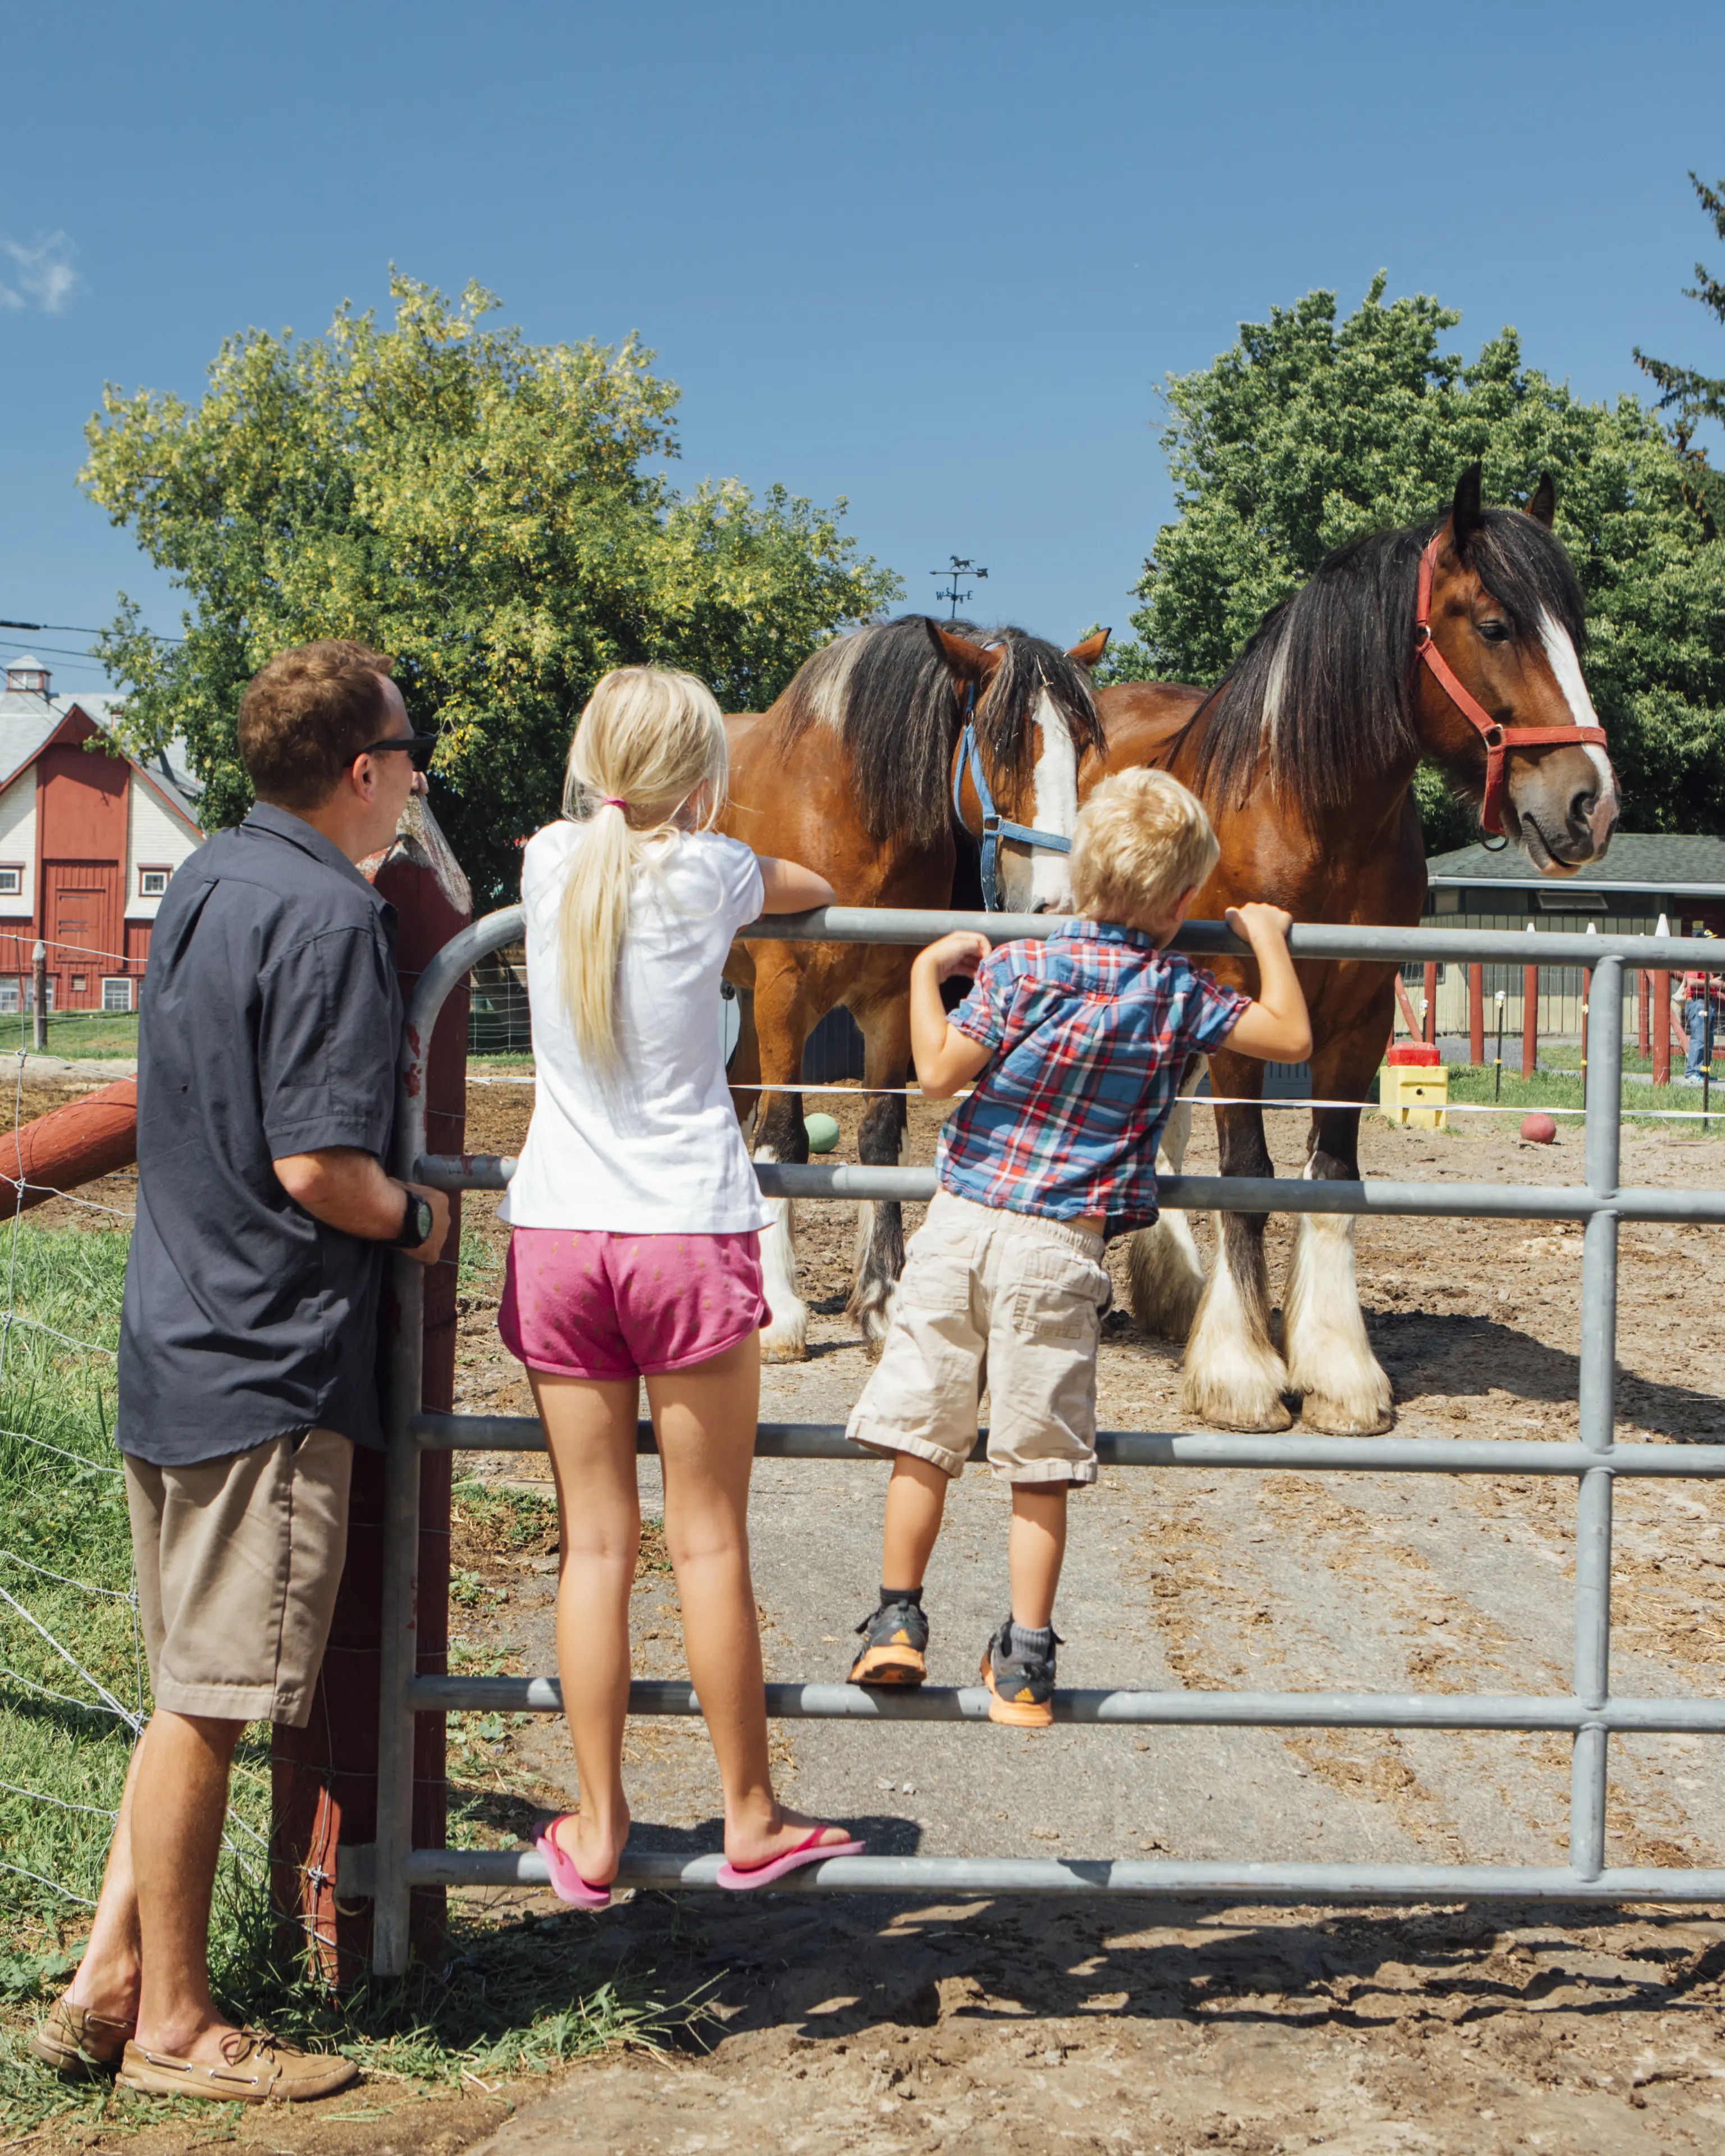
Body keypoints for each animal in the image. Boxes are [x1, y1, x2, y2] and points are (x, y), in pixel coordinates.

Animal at [720, 615, 1107, 1360]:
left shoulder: (892, 1002)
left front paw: (883, 1299)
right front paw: (780, 1313)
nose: (1058, 903)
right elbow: (783, 1136)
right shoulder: (787, 994)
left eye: (1080, 742)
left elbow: (879, 1137)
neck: (843, 812)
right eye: (1001, 740)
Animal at [1081, 465, 1619, 1433]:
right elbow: (1248, 1174)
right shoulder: (1241, 1007)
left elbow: (1329, 1174)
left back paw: (1174, 1289)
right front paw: (1242, 1371)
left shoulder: (1364, 1013)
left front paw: (1335, 1368)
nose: (1591, 804)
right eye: (1496, 625)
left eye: (1575, 634)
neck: (1306, 813)